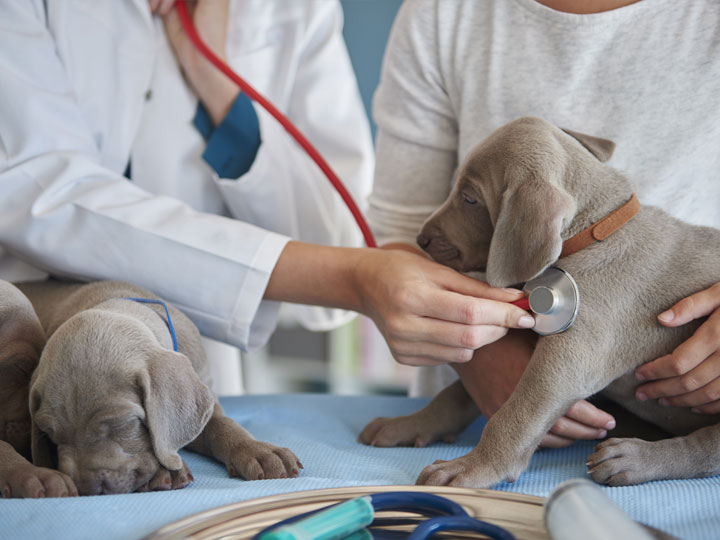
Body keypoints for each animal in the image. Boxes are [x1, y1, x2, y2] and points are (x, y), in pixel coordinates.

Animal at [14, 280, 300, 496]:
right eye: (50, 434)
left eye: (123, 424)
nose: (88, 488)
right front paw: (164, 472)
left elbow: (222, 425)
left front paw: (258, 451)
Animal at [360, 116, 720, 488]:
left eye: (470, 198)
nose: (421, 239)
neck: (594, 232)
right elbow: (457, 393)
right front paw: (409, 424)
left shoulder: (570, 357)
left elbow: (516, 414)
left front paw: (472, 467)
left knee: (708, 448)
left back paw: (633, 458)